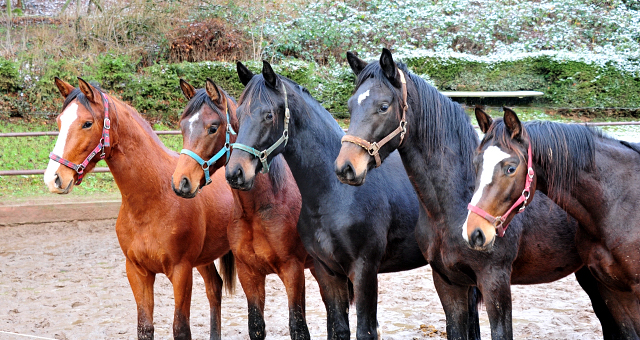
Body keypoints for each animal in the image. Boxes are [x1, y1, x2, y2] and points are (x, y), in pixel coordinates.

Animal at [43, 77, 236, 340]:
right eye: (60, 122)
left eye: (87, 123)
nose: (53, 178)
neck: (153, 200)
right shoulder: (138, 272)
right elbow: (145, 327)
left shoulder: (181, 272)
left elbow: (180, 328)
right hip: (204, 258)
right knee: (214, 288)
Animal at [169, 78, 312, 338]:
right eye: (182, 127)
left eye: (213, 127)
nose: (180, 182)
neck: (260, 209)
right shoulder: (249, 274)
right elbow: (255, 326)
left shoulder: (293, 271)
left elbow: (298, 327)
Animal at [225, 61, 480, 340]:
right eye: (238, 114)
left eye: (269, 115)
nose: (235, 172)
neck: (334, 195)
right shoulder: (327, 272)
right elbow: (338, 329)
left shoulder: (364, 270)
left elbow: (365, 331)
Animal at [336, 49, 620, 340]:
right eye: (350, 106)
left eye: (383, 106)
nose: (346, 167)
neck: (453, 204)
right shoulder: (448, 282)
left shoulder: (494, 280)